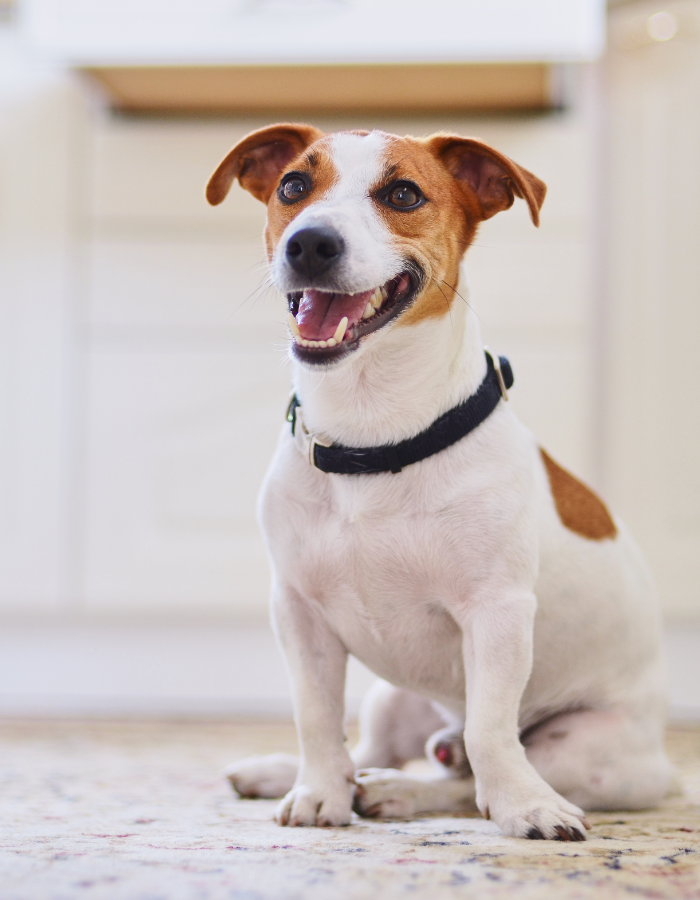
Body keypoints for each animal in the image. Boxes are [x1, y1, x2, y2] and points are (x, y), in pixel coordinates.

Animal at [206, 123, 672, 840]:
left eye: (403, 194)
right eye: (292, 186)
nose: (309, 242)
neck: (371, 439)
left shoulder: (497, 614)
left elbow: (491, 733)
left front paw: (525, 809)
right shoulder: (299, 613)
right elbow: (317, 717)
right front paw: (316, 792)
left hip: (589, 749)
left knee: (468, 769)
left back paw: (403, 792)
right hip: (392, 696)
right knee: (373, 748)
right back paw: (295, 774)